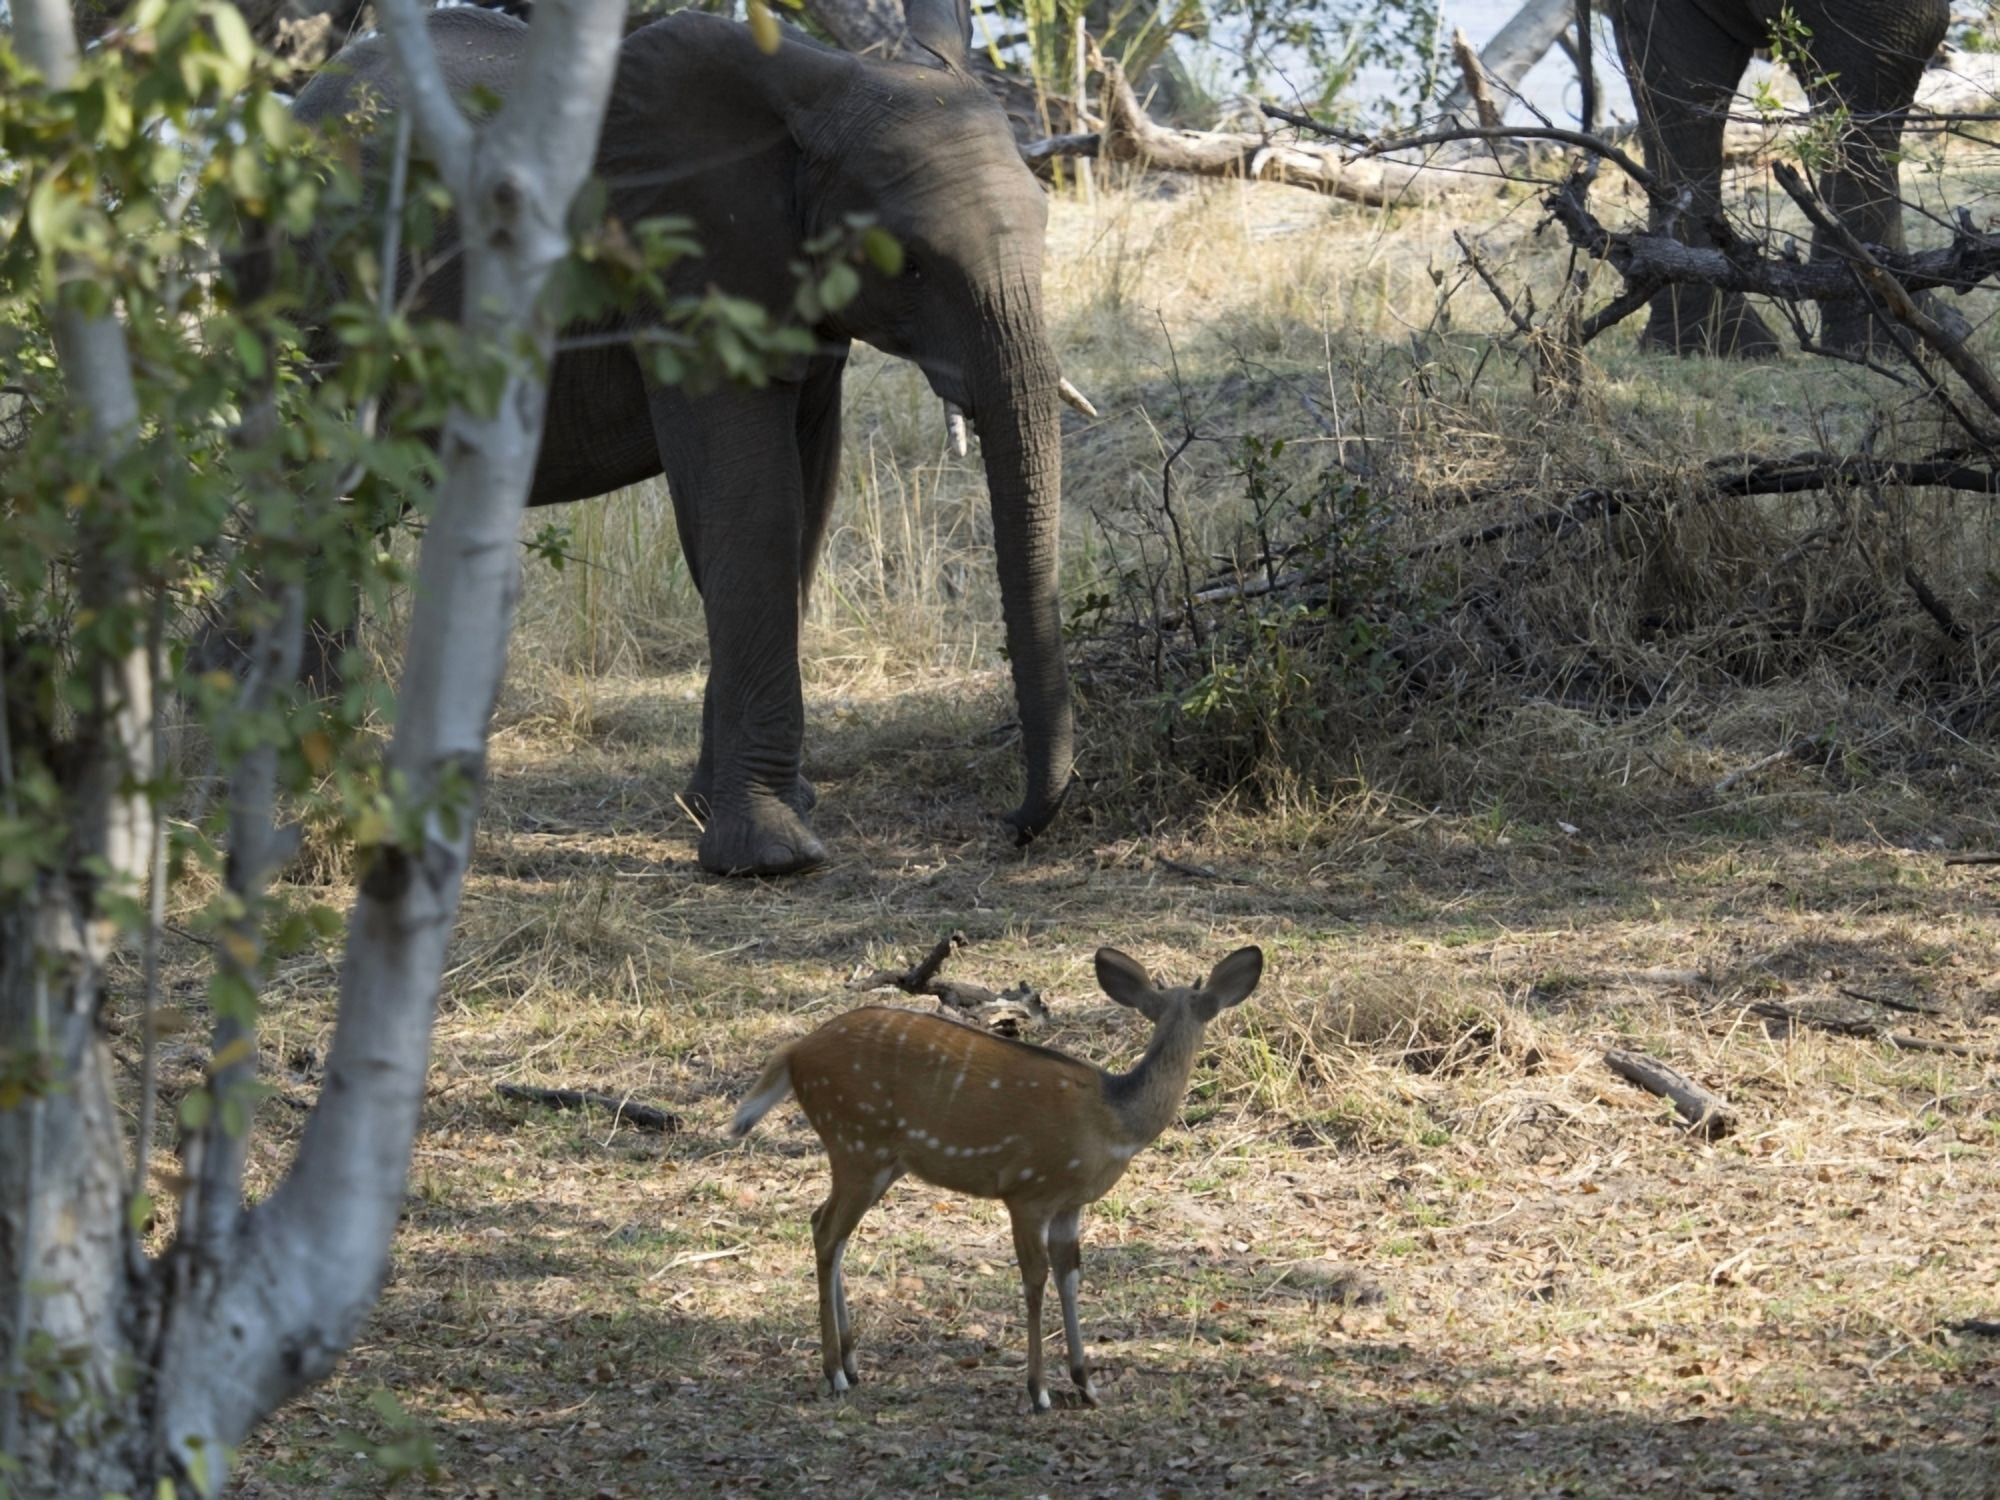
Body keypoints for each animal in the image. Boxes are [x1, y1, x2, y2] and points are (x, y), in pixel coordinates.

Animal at [288, 1, 1075, 877]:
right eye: (908, 264)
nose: (1014, 824)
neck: (816, 85)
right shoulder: (688, 271)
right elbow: (751, 506)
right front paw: (770, 856)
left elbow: (802, 499)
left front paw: (737, 807)